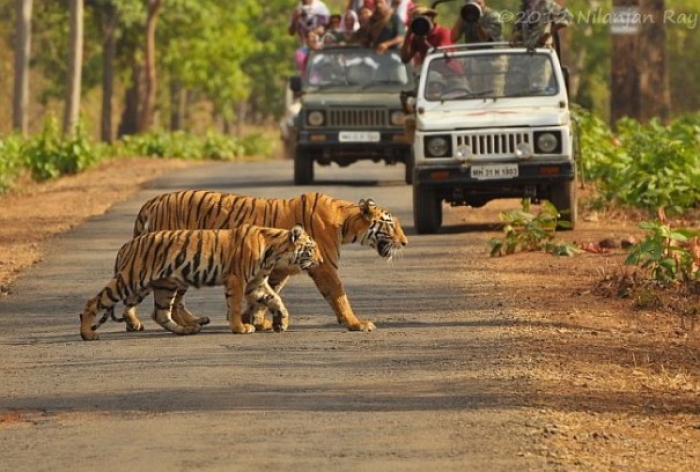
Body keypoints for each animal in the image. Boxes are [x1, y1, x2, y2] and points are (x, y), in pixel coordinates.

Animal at [79, 224, 322, 341]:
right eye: (312, 249)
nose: (320, 262)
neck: (274, 252)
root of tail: (126, 245)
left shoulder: (256, 283)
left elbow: (275, 299)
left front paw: (282, 322)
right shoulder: (237, 280)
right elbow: (235, 306)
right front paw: (240, 328)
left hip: (162, 285)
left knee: (159, 313)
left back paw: (187, 329)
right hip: (130, 279)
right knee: (94, 301)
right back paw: (87, 334)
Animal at [127, 191, 408, 333]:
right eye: (390, 223)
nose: (405, 242)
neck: (346, 222)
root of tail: (151, 201)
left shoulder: (277, 269)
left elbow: (266, 294)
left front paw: (255, 319)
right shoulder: (324, 266)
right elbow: (339, 295)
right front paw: (356, 323)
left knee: (173, 301)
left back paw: (191, 322)